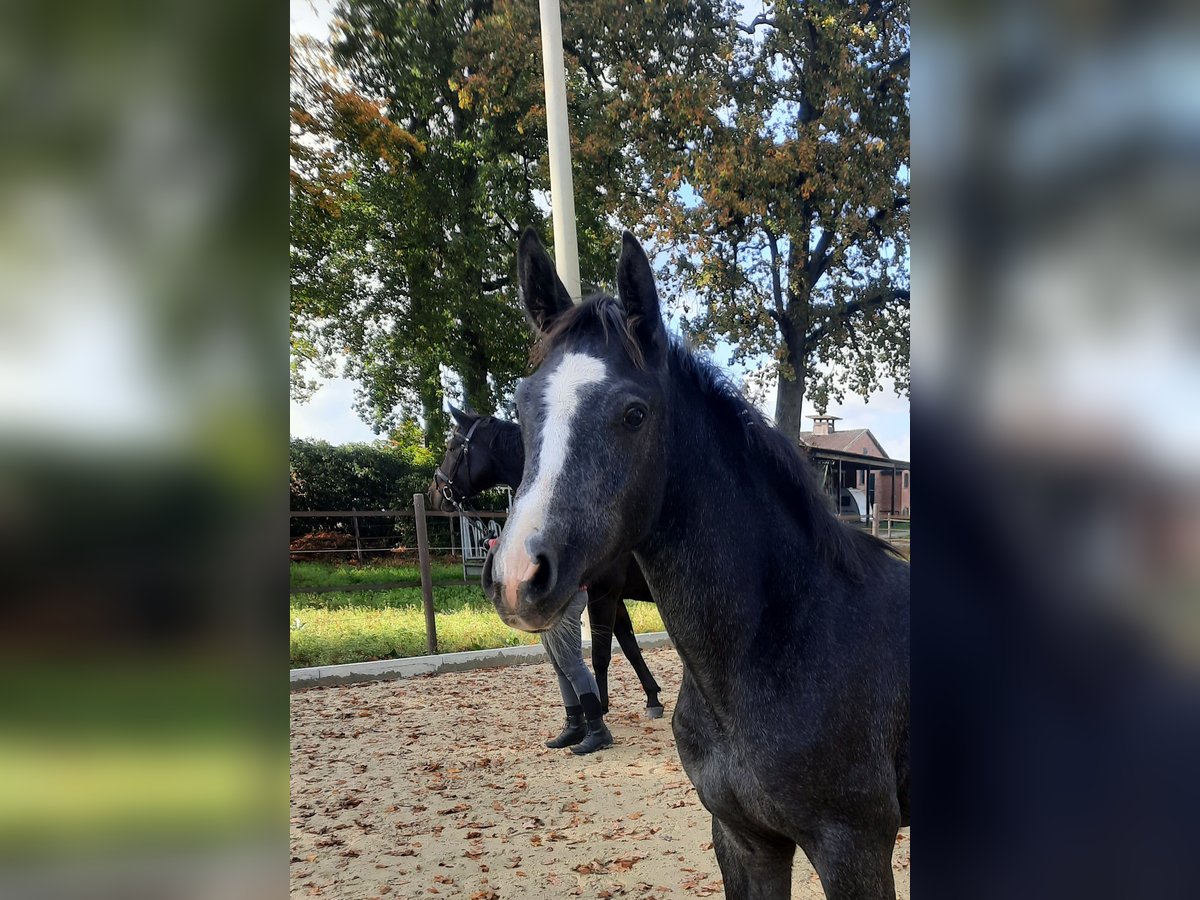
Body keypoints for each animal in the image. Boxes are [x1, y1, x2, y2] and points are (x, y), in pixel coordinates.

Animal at [429, 415, 667, 720]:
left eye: (451, 447)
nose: (435, 492)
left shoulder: (603, 594)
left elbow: (601, 655)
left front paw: (601, 707)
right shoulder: (615, 598)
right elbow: (629, 646)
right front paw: (652, 698)